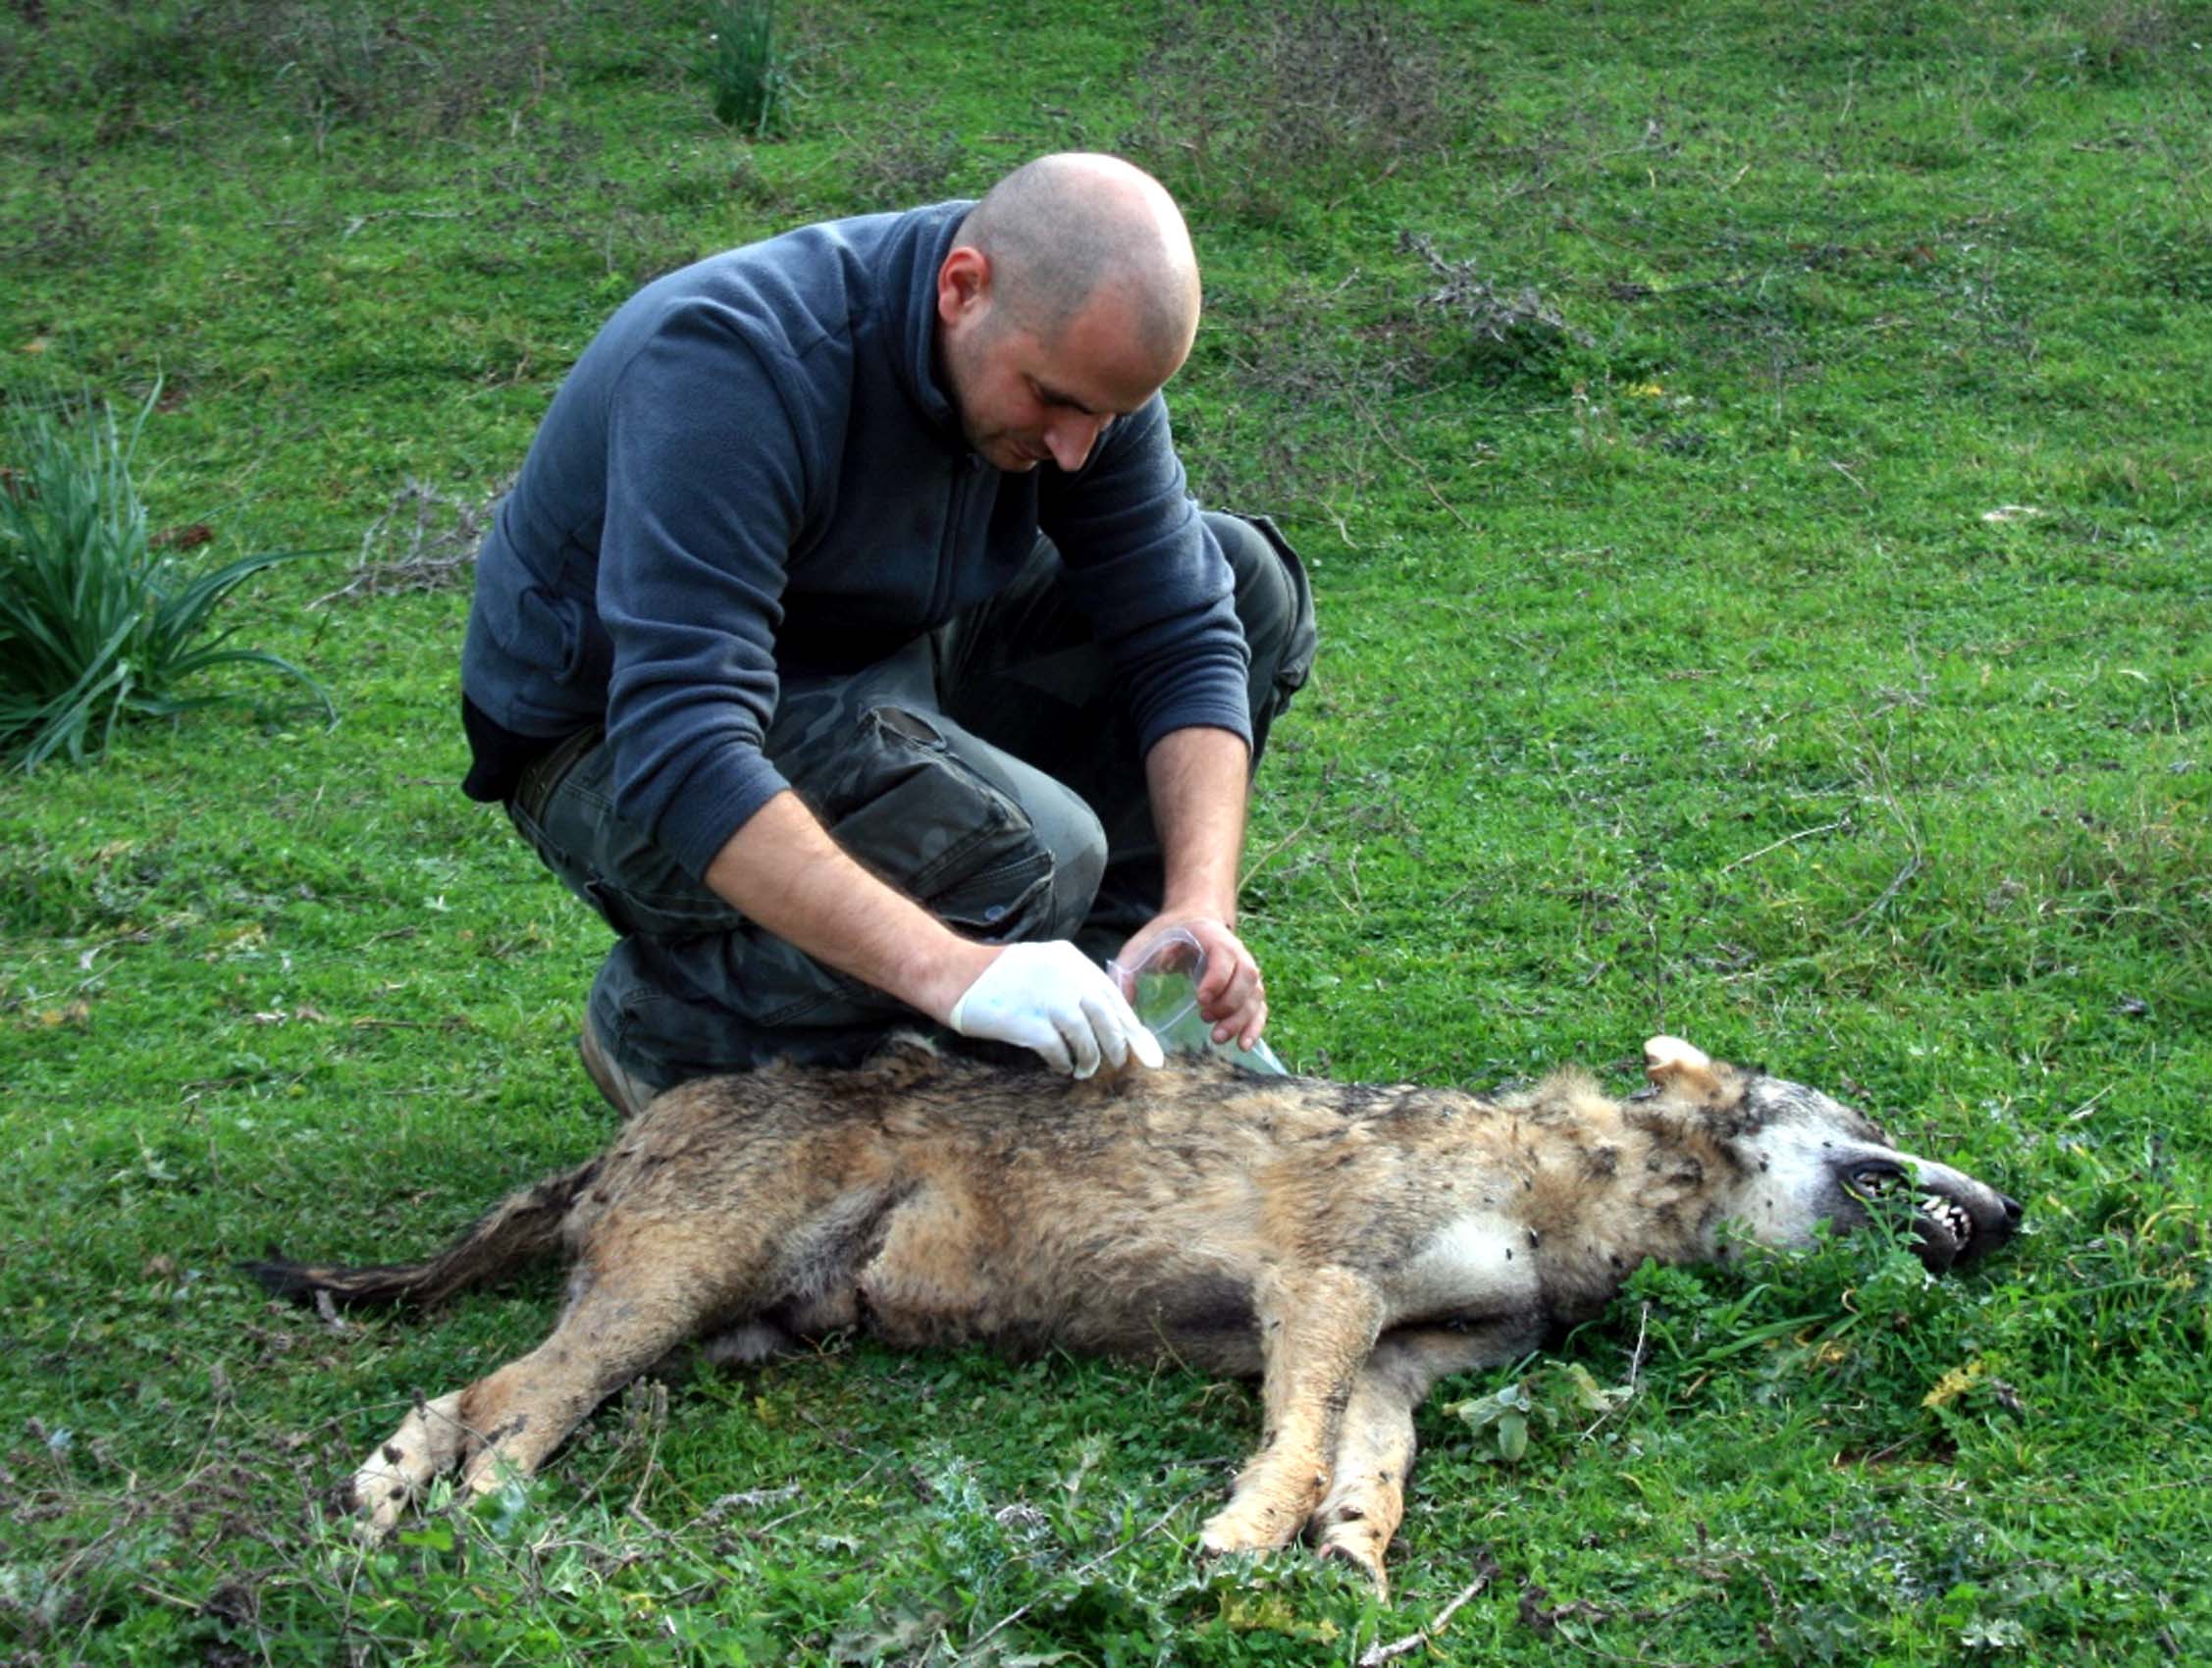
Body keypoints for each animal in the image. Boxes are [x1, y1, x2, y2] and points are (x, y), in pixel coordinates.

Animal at [254, 1026, 2026, 1584]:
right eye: (1870, 1132)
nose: (2008, 1217)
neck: (1563, 1192)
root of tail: (625, 1128)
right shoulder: (1318, 1291)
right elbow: (1291, 1445)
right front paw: (1245, 1537)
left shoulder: (1403, 1361)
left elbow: (1369, 1469)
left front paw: (1350, 1559)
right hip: (659, 1302)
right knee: (490, 1412)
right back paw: (449, 1514)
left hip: (699, 1325)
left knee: (471, 1399)